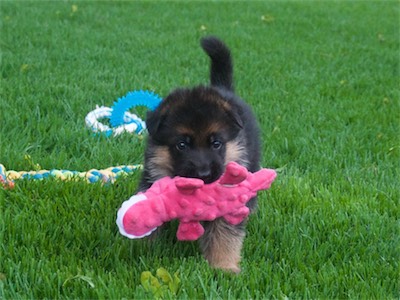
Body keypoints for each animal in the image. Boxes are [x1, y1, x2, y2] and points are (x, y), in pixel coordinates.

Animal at [139, 36, 260, 274]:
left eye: (216, 143)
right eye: (182, 145)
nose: (203, 174)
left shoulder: (229, 199)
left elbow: (224, 234)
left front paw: (223, 267)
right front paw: (141, 252)